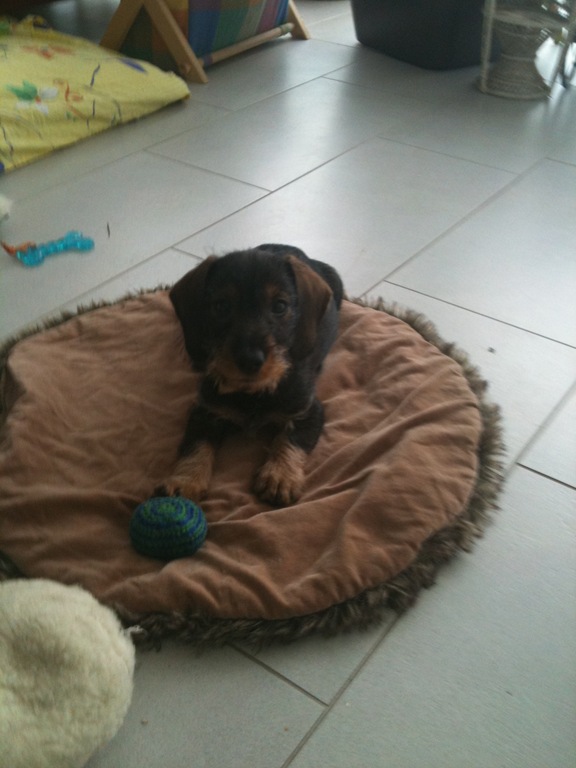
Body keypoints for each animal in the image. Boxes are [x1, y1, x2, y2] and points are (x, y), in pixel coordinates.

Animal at [162, 243, 344, 507]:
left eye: (279, 306)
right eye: (221, 306)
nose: (250, 360)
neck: (252, 393)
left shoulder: (308, 411)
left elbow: (291, 438)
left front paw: (280, 475)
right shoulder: (205, 411)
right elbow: (195, 444)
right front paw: (186, 481)